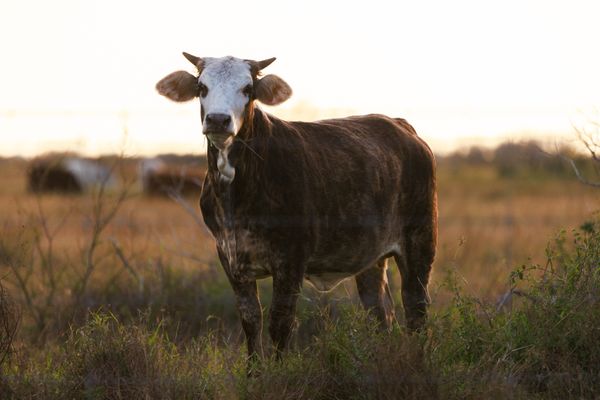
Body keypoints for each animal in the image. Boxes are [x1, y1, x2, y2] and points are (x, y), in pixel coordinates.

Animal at [155, 51, 436, 360]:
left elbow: (280, 323)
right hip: (371, 258)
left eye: (247, 89)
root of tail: (400, 126)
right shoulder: (230, 257)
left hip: (419, 242)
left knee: (415, 306)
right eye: (201, 87)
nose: (218, 119)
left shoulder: (291, 260)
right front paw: (254, 369)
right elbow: (251, 320)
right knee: (379, 313)